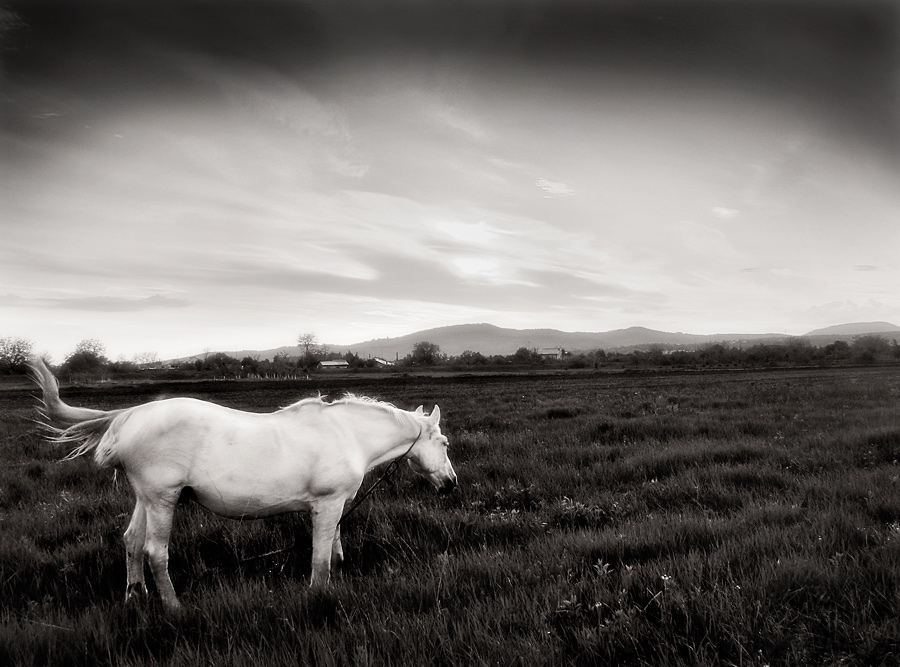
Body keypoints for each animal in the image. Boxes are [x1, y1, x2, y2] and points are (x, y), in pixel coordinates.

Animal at [28, 360, 458, 612]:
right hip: (163, 500)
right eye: (444, 443)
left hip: (146, 499)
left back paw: (136, 597)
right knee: (154, 552)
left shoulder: (334, 508)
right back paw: (174, 608)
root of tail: (134, 413)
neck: (347, 433)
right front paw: (318, 597)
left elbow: (334, 552)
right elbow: (320, 561)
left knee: (132, 542)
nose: (451, 484)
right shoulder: (326, 505)